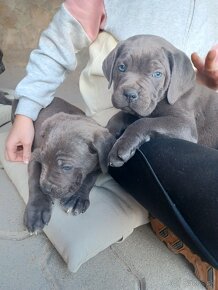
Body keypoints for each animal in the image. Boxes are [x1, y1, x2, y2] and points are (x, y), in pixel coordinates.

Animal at [9, 97, 115, 233]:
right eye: (43, 160)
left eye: (67, 167)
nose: (46, 189)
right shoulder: (35, 155)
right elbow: (34, 179)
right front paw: (36, 210)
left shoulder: (100, 163)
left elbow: (89, 179)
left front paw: (77, 198)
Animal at [103, 34, 218, 167]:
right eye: (121, 67)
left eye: (157, 74)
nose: (130, 94)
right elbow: (123, 115)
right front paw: (108, 131)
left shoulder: (186, 125)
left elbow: (144, 122)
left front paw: (121, 146)